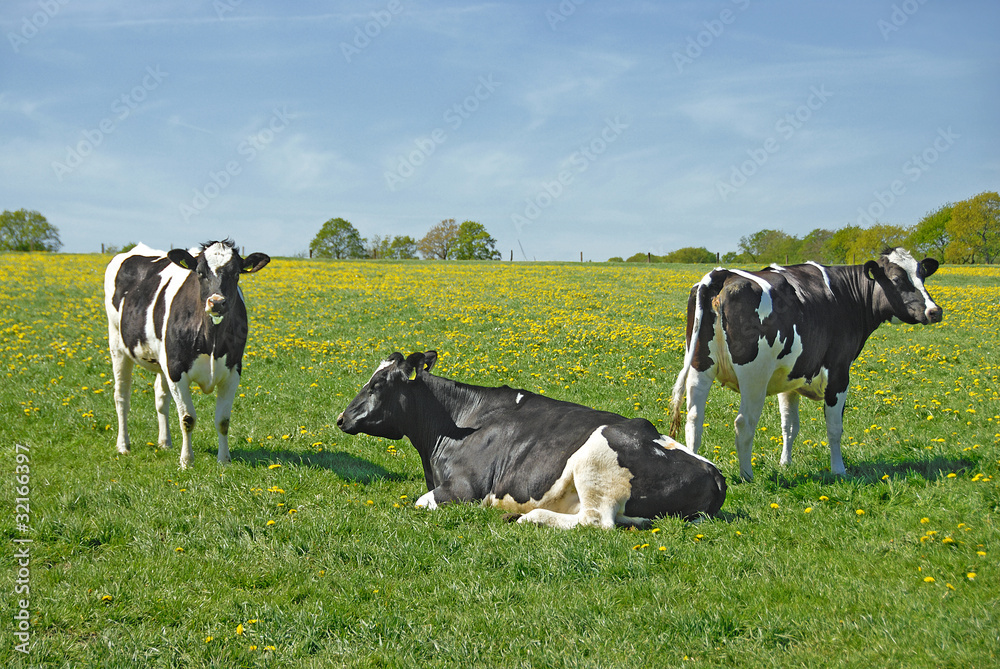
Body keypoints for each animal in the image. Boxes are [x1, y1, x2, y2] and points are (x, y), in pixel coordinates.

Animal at [101, 243, 270, 468]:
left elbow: (223, 420)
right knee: (121, 397)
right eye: (200, 272)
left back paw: (164, 441)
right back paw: (123, 445)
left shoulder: (233, 371)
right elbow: (188, 418)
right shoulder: (176, 370)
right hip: (118, 347)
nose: (216, 303)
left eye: (236, 274)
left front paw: (224, 460)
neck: (212, 339)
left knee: (160, 397)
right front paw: (187, 461)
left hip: (161, 359)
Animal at [338, 350, 728, 528]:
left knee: (595, 521)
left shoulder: (463, 490)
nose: (341, 418)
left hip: (595, 464)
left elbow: (420, 503)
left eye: (378, 384)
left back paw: (527, 517)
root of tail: (713, 471)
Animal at [668, 245, 940, 480]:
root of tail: (722, 274)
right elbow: (834, 427)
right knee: (743, 422)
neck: (847, 295)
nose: (934, 311)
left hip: (700, 366)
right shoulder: (839, 371)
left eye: (922, 275)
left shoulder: (789, 379)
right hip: (754, 376)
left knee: (694, 419)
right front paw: (839, 470)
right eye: (896, 279)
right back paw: (747, 476)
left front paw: (785, 463)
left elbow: (789, 425)